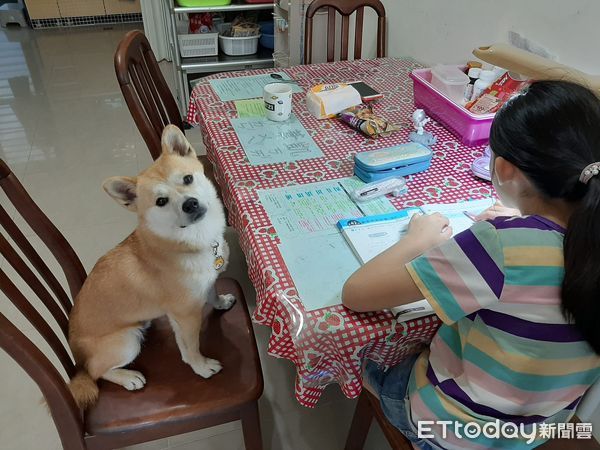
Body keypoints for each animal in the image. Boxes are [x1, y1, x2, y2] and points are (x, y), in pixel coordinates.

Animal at [67, 125, 233, 408]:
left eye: (188, 179)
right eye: (161, 202)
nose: (190, 203)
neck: (187, 241)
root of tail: (77, 358)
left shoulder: (199, 291)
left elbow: (211, 293)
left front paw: (220, 302)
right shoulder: (187, 314)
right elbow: (191, 348)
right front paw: (201, 367)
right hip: (127, 342)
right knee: (97, 372)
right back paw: (128, 378)